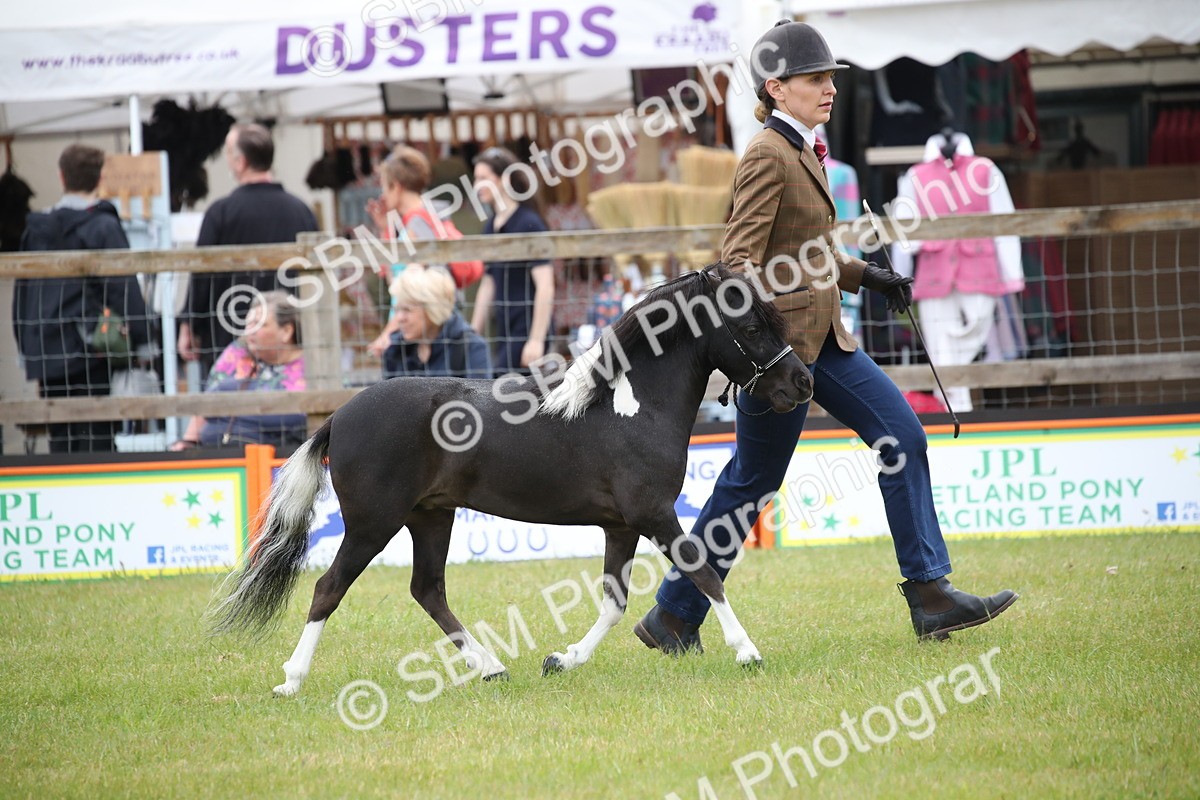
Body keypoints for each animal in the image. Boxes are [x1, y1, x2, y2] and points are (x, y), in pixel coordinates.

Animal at [210, 263, 813, 697]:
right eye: (751, 327)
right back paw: (291, 680)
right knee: (328, 589)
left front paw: (561, 660)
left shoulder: (621, 525)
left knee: (427, 590)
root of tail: (339, 416)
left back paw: (491, 667)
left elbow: (613, 602)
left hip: (430, 517)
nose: (801, 383)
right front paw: (748, 652)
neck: (630, 407)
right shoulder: (654, 514)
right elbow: (704, 571)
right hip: (371, 524)